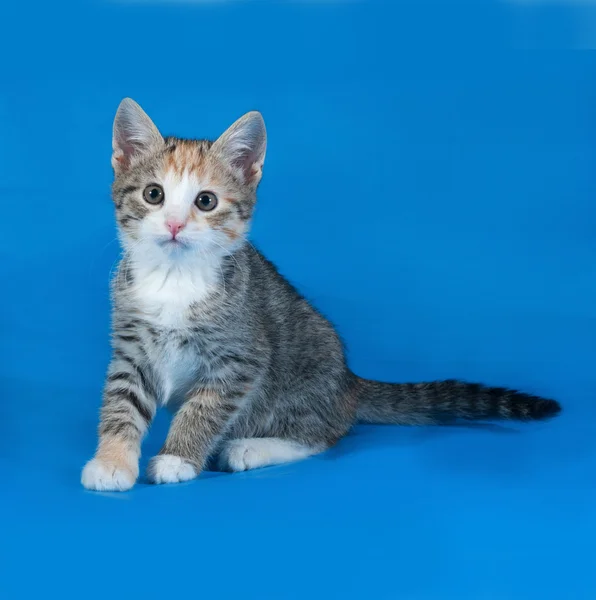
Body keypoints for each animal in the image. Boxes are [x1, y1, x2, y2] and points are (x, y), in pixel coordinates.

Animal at [79, 98, 560, 492]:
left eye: (206, 201)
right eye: (153, 194)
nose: (175, 225)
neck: (175, 277)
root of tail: (349, 382)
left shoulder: (240, 358)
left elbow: (203, 411)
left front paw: (177, 458)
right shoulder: (132, 349)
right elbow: (122, 402)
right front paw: (112, 461)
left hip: (299, 379)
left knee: (322, 435)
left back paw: (249, 448)